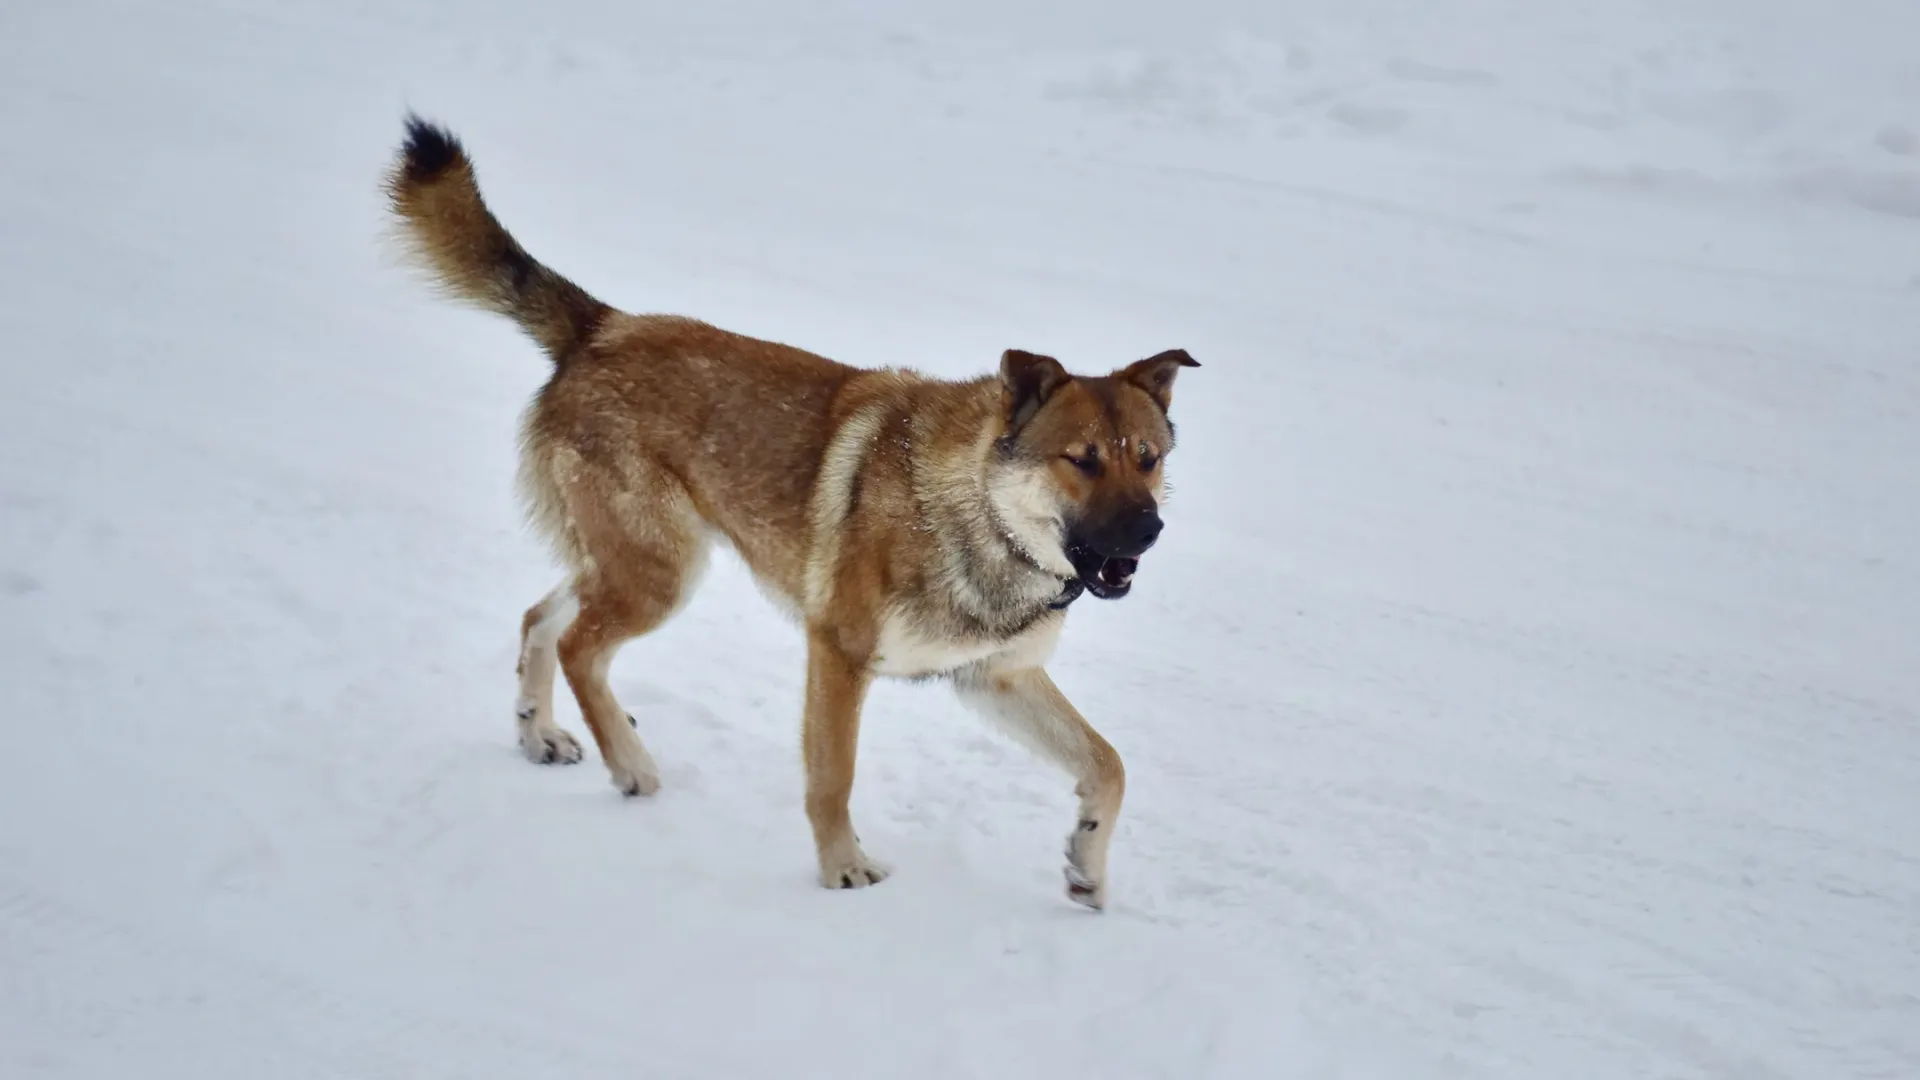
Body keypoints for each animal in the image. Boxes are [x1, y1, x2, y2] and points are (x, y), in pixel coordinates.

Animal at [382, 113, 1198, 903]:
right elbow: (833, 777)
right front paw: (843, 870)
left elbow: (1109, 765)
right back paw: (631, 765)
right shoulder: (838, 651)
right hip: (662, 573)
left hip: (633, 561)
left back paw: (540, 734)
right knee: (580, 646)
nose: (1150, 531)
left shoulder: (996, 678)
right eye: (1081, 460)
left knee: (541, 621)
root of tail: (602, 327)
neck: (976, 512)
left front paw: (1087, 867)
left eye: (1147, 458)